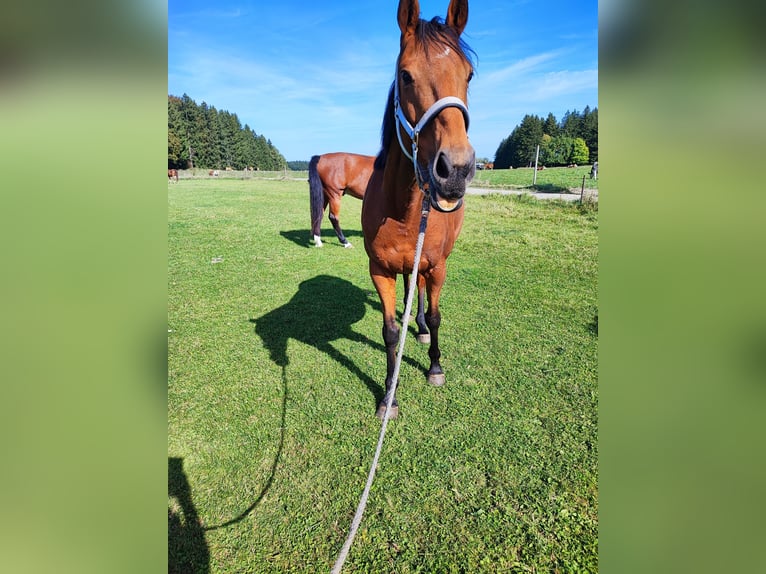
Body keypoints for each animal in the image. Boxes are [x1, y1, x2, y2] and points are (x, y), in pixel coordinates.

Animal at [361, 0, 475, 419]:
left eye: (469, 75)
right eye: (405, 75)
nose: (455, 170)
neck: (403, 209)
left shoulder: (438, 265)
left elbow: (439, 314)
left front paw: (435, 367)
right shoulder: (380, 270)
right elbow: (390, 330)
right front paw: (388, 397)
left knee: (424, 292)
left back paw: (423, 327)